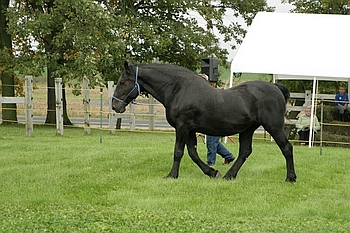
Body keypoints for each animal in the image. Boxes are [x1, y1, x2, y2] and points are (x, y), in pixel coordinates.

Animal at [113, 60, 298, 182]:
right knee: (245, 152)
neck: (178, 88)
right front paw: (211, 172)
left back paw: (290, 177)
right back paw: (229, 175)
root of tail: (276, 88)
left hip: (273, 126)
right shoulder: (190, 130)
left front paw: (172, 175)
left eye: (122, 81)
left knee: (287, 148)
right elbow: (193, 153)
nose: (115, 105)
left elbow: (178, 152)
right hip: (248, 129)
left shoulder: (182, 127)